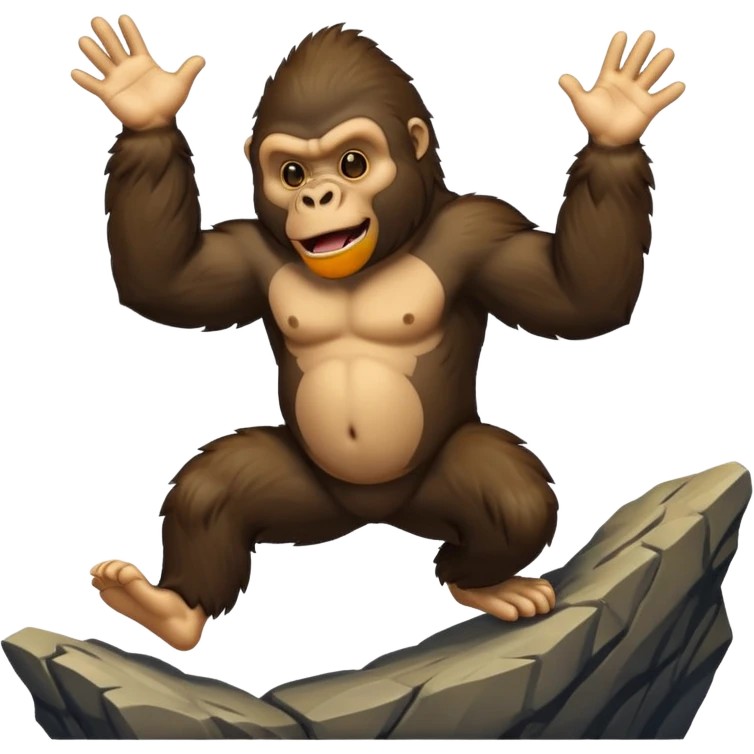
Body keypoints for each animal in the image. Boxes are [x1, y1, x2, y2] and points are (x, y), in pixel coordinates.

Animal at [72, 16, 686, 652]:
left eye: (352, 164)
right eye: (291, 173)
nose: (317, 196)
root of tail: (373, 514)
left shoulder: (486, 231)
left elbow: (577, 298)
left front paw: (615, 120)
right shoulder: (245, 249)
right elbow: (166, 282)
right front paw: (143, 102)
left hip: (428, 492)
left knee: (513, 498)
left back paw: (483, 585)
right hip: (309, 492)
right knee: (213, 489)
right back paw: (170, 607)